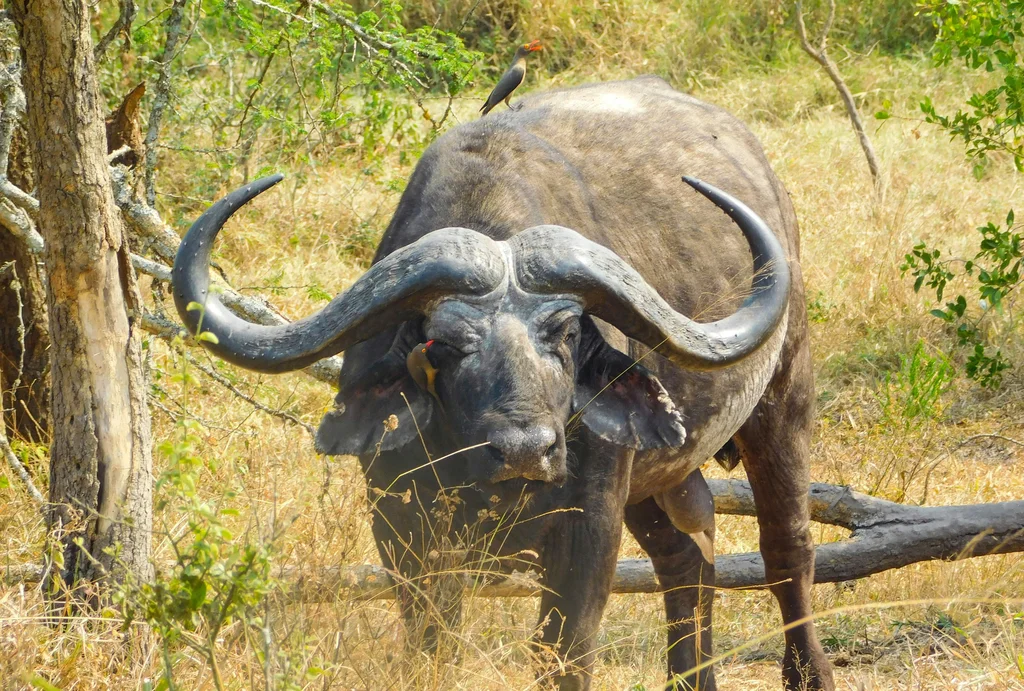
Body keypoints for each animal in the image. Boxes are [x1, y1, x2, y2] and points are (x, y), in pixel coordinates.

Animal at [174, 77, 831, 691]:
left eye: (567, 331)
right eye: (444, 343)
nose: (525, 450)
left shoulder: (590, 522)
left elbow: (562, 653)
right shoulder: (402, 526)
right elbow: (432, 642)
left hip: (782, 402)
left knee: (786, 549)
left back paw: (810, 669)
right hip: (657, 476)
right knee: (687, 560)